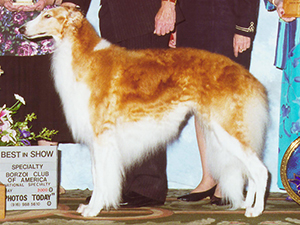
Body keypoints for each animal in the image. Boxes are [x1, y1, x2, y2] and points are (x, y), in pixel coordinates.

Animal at [20, 6, 270, 218]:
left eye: (48, 15)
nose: (21, 29)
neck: (84, 54)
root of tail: (246, 75)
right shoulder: (98, 140)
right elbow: (97, 175)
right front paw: (91, 206)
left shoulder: (101, 137)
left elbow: (100, 178)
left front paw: (94, 209)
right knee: (252, 171)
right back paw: (248, 204)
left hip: (227, 129)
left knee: (261, 171)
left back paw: (256, 210)